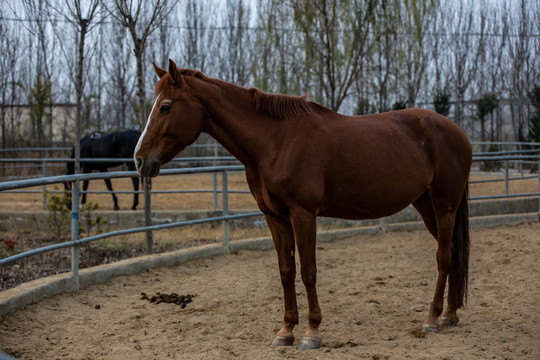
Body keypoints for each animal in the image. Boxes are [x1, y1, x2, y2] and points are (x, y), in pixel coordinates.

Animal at [136, 60, 472, 350]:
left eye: (165, 107)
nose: (140, 160)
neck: (276, 141)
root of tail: (458, 132)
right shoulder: (275, 218)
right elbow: (286, 271)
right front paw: (285, 331)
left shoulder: (303, 215)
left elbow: (308, 271)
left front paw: (312, 333)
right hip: (426, 205)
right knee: (453, 252)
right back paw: (450, 315)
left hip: (444, 204)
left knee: (443, 257)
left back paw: (432, 319)